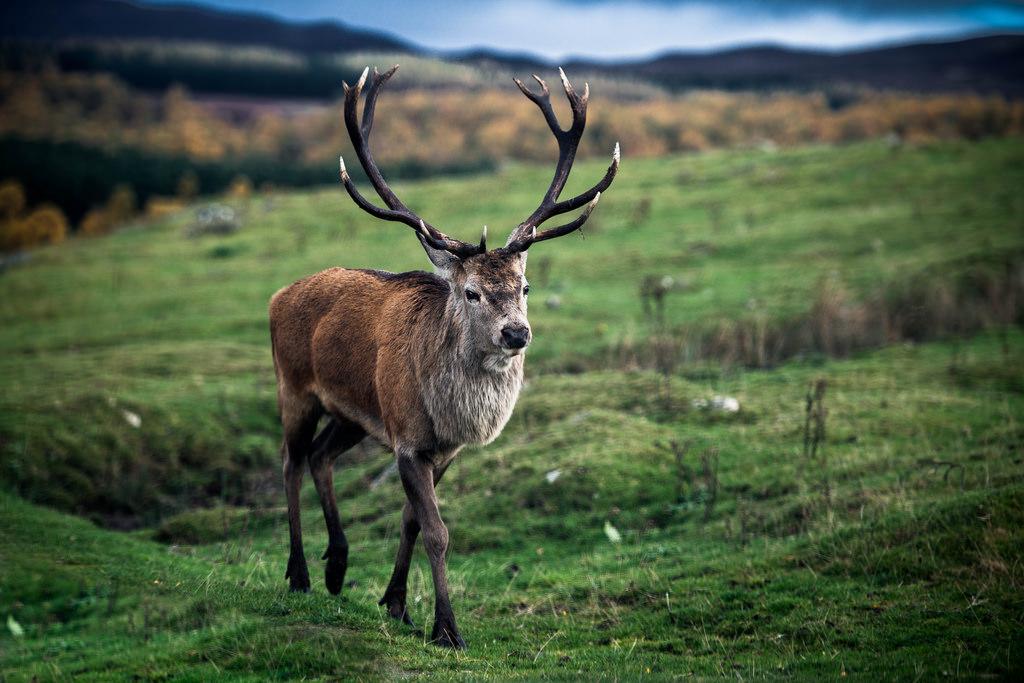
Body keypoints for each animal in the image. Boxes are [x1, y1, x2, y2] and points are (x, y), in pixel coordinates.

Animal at [268, 65, 618, 649]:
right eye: (472, 292)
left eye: (524, 286)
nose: (517, 333)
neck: (452, 413)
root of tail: (277, 296)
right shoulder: (408, 439)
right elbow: (436, 530)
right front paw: (447, 628)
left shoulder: (443, 448)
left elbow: (411, 519)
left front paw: (395, 603)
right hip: (293, 387)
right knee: (292, 463)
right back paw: (298, 575)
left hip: (355, 414)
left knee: (320, 457)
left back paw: (336, 566)